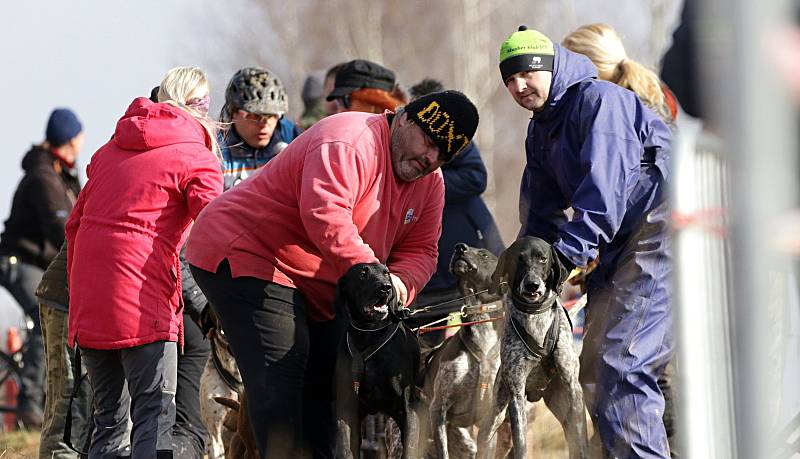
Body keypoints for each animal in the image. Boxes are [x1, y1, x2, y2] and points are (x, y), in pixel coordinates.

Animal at [476, 239, 588, 458]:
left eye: (542, 258)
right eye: (517, 259)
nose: (532, 284)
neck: (535, 316)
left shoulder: (573, 386)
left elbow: (581, 438)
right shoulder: (516, 394)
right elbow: (520, 443)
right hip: (496, 413)